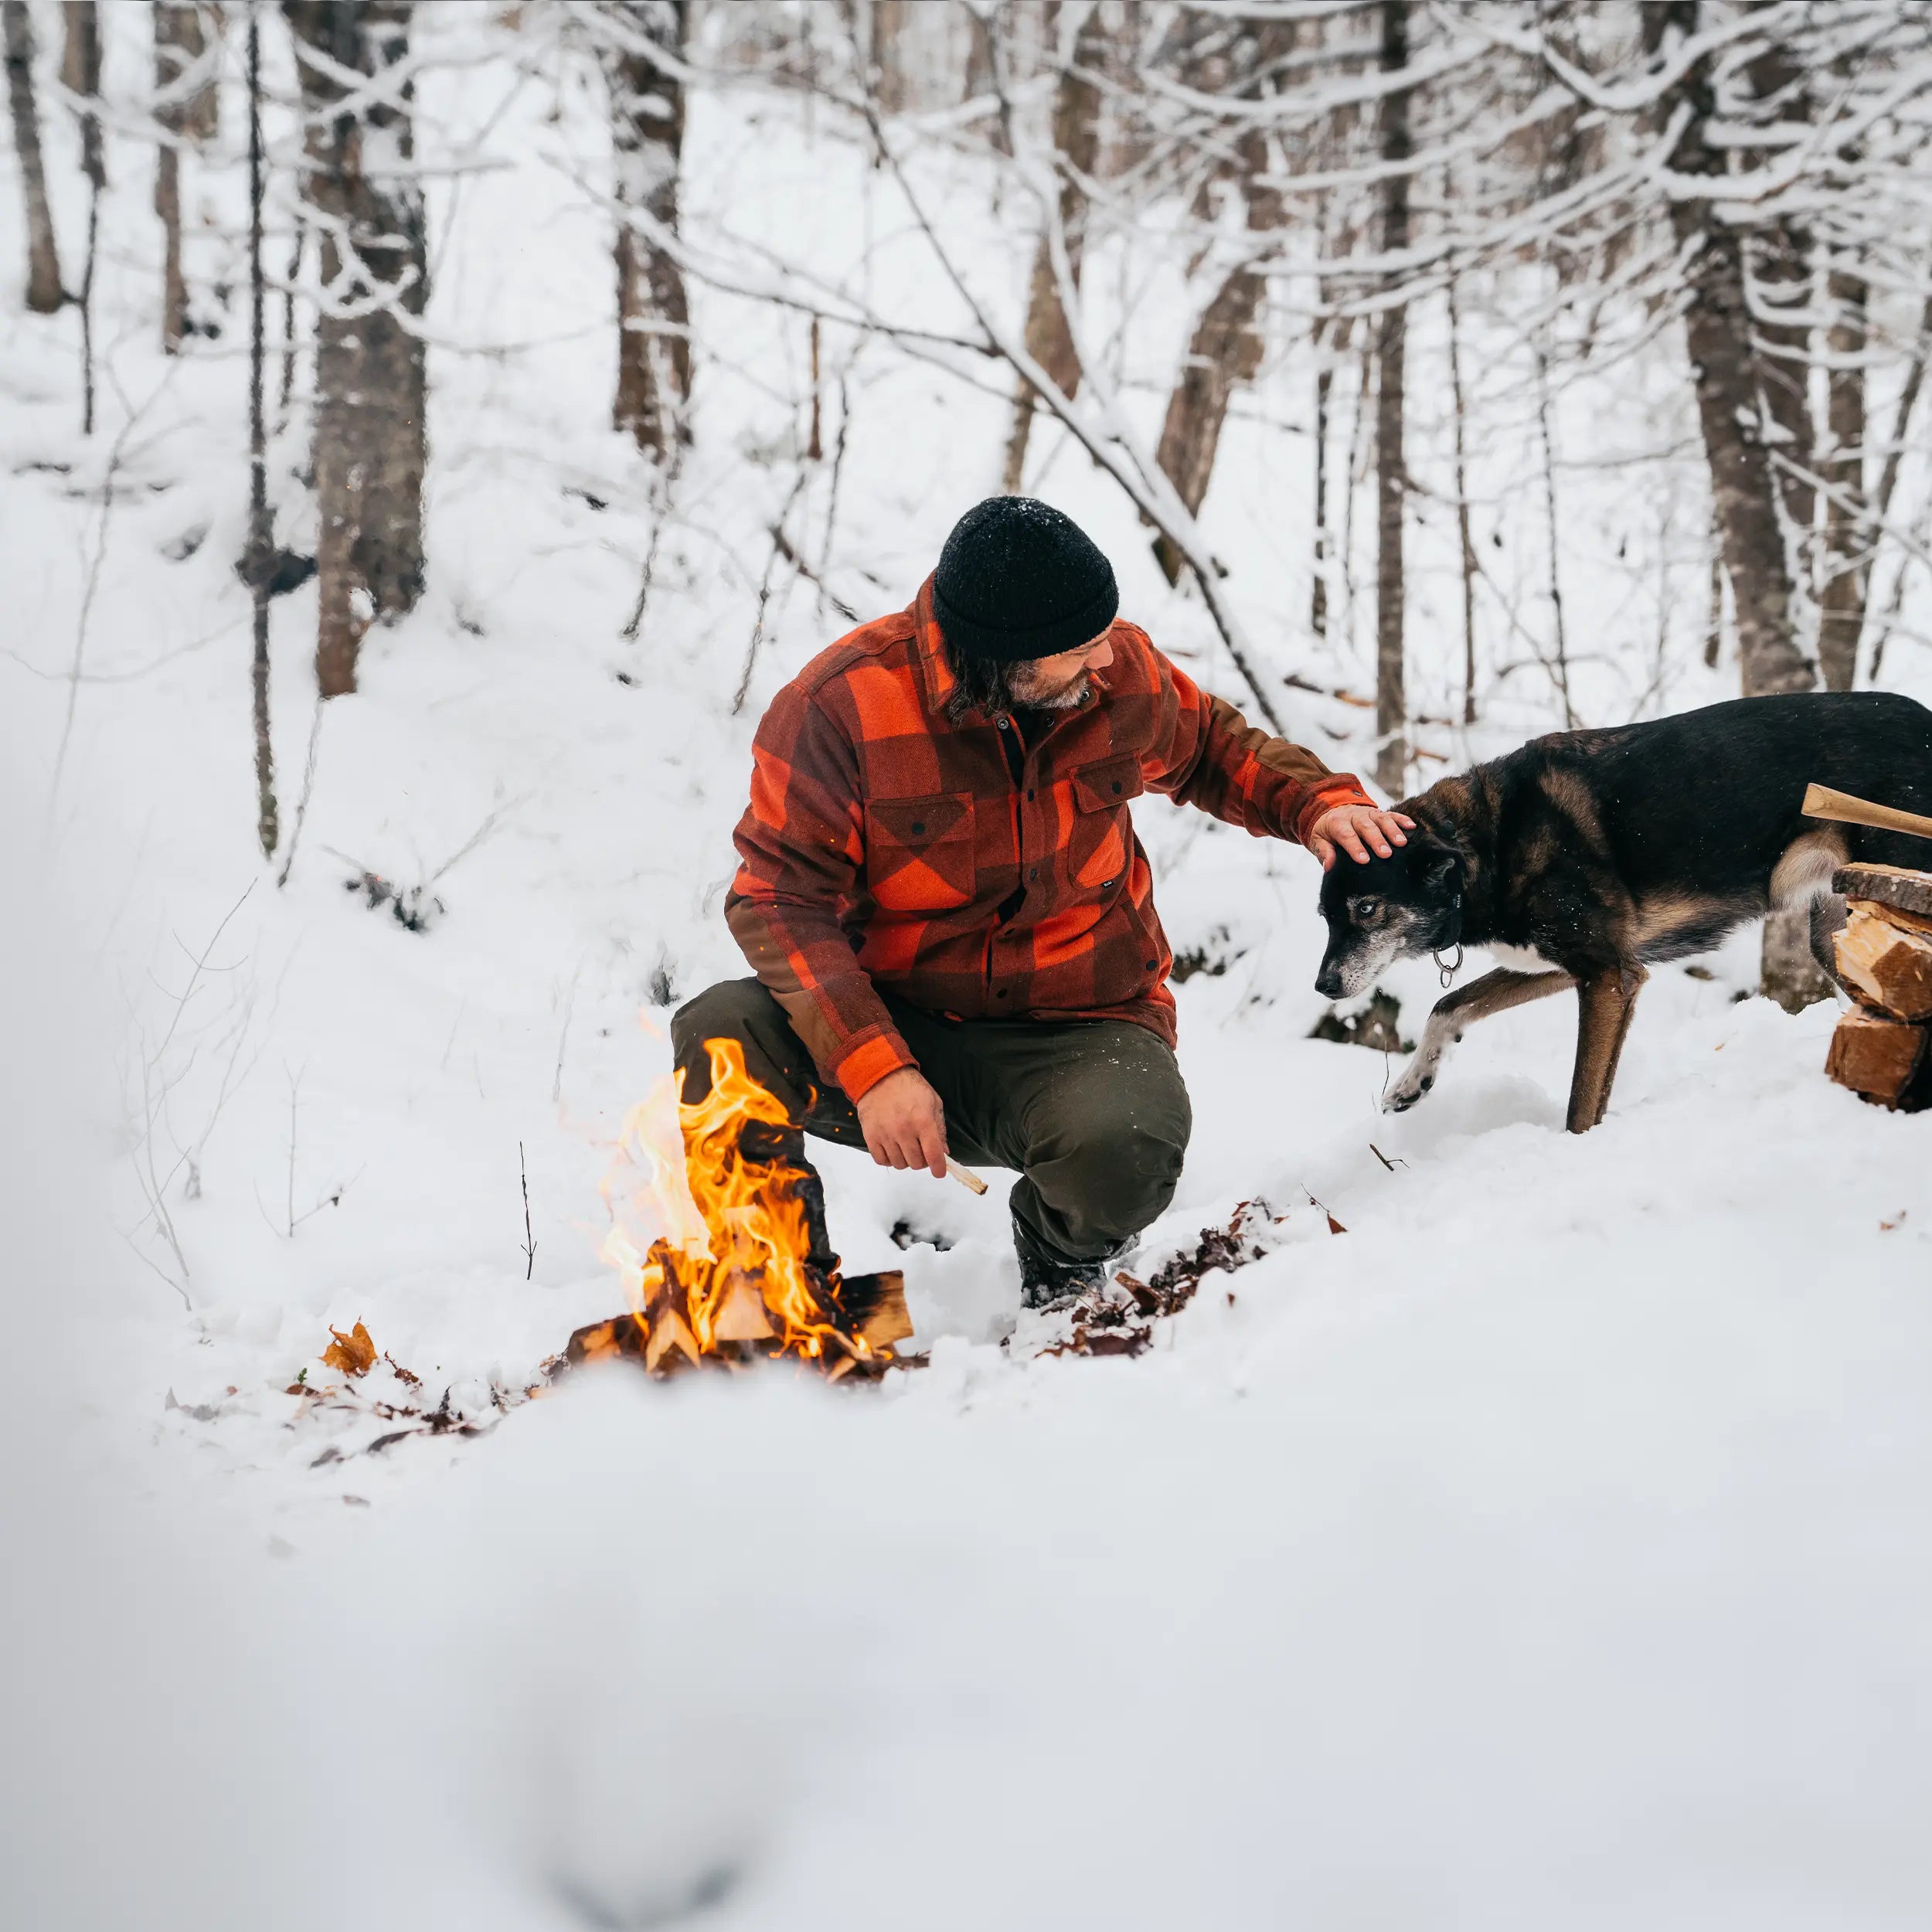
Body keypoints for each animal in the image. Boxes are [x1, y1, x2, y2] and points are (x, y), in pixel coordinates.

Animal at [1314, 692, 1932, 1128]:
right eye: (1325, 916)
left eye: (1366, 908)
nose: (1323, 985)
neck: (1488, 844)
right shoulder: (1572, 967)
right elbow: (1448, 1005)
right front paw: (1411, 1084)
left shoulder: (1611, 976)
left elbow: (1582, 1104)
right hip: (1838, 938)